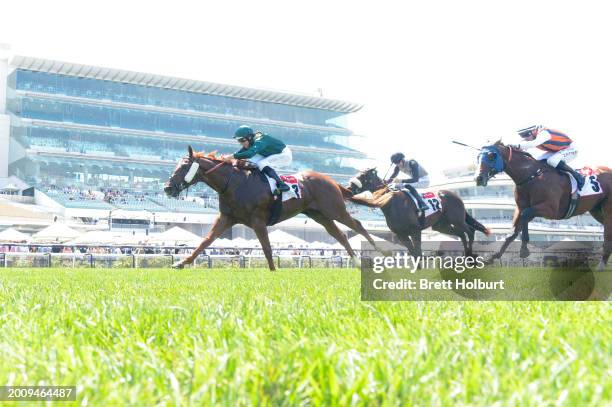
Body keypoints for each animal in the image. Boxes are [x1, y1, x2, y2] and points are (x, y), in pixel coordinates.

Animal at [165, 147, 384, 270]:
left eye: (183, 167)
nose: (167, 188)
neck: (234, 182)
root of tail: (330, 180)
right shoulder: (227, 218)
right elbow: (205, 241)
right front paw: (180, 263)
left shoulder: (258, 220)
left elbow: (267, 248)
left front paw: (273, 272)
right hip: (320, 216)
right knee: (341, 235)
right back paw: (357, 262)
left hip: (334, 209)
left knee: (357, 225)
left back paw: (380, 252)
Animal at [346, 169, 490, 258]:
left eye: (363, 176)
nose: (348, 188)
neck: (391, 202)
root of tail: (456, 196)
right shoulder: (401, 235)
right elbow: (413, 253)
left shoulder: (415, 231)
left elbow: (418, 252)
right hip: (441, 226)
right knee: (461, 234)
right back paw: (466, 255)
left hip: (457, 220)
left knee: (470, 231)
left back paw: (470, 256)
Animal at [478, 140, 612, 270]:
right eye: (478, 157)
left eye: (491, 156)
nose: (478, 178)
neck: (531, 176)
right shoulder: (521, 208)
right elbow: (513, 231)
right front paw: (493, 256)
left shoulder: (550, 210)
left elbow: (525, 215)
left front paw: (524, 250)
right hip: (596, 211)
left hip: (608, 210)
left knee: (607, 236)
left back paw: (601, 266)